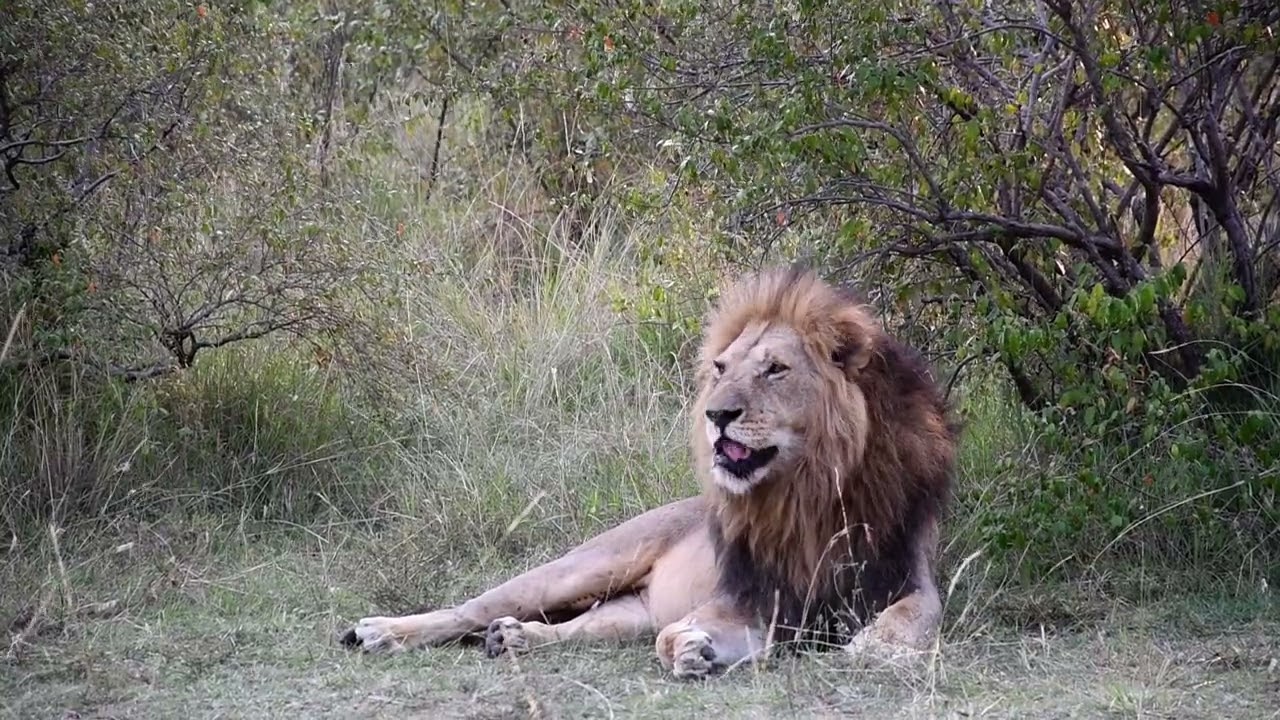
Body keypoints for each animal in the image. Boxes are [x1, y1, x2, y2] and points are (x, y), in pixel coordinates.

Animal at [341, 266, 958, 678]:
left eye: (776, 369)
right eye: (720, 368)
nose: (716, 415)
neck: (806, 491)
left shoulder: (908, 577)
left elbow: (910, 618)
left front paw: (871, 648)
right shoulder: (750, 599)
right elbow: (672, 635)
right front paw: (690, 650)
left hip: (624, 612)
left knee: (579, 628)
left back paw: (514, 640)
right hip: (581, 566)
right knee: (468, 609)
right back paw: (383, 632)